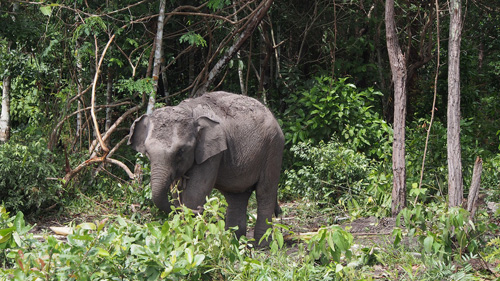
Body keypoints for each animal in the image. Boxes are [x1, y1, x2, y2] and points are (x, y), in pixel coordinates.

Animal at [128, 90, 286, 243]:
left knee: (264, 192)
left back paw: (262, 245)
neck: (188, 111)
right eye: (147, 152)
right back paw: (235, 242)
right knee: (236, 196)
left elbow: (195, 193)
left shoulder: (211, 153)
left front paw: (189, 237)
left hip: (274, 148)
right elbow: (176, 193)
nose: (199, 210)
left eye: (181, 151)